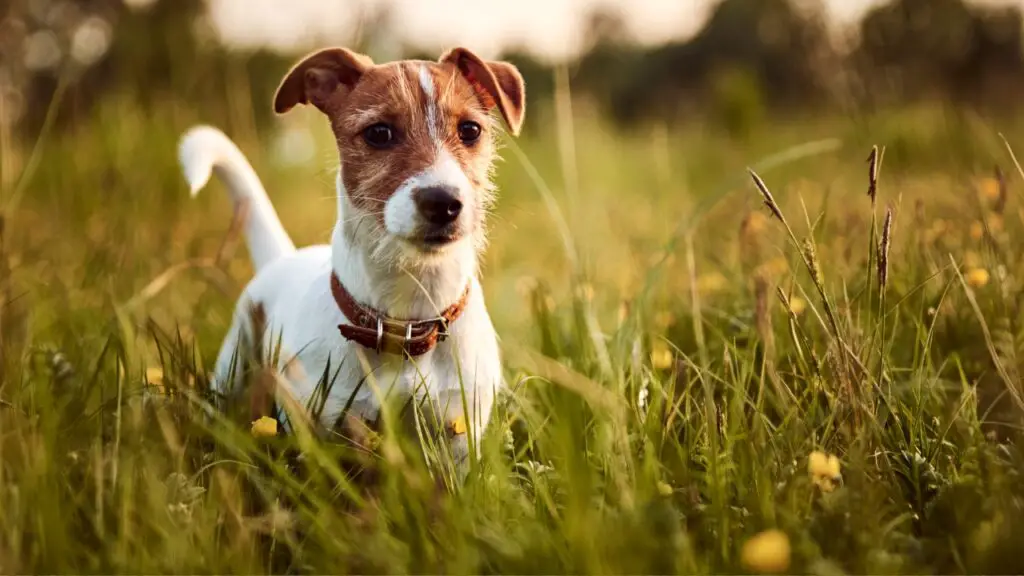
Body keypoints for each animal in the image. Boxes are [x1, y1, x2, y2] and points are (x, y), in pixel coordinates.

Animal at [178, 47, 528, 463]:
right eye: (379, 133)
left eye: (471, 130)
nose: (443, 202)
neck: (406, 322)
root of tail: (284, 257)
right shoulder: (325, 427)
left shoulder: (458, 432)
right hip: (233, 364)